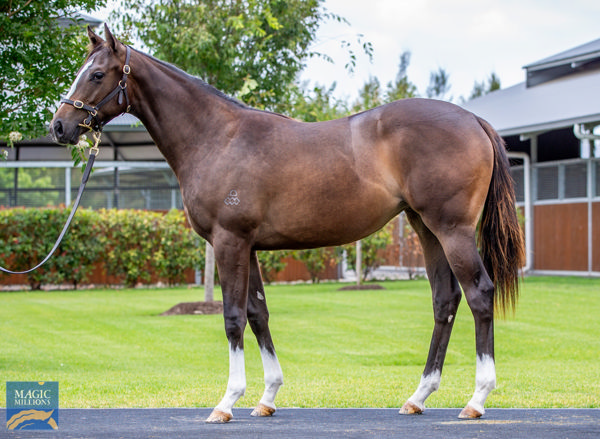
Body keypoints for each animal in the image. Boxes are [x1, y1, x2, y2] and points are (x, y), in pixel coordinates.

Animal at [49, 25, 524, 424]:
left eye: (96, 74)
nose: (59, 126)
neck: (216, 137)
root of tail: (472, 120)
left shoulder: (230, 242)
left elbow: (233, 317)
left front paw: (226, 402)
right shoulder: (248, 247)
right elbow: (258, 313)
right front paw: (267, 397)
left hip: (452, 229)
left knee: (479, 294)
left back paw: (477, 399)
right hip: (426, 228)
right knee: (445, 300)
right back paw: (418, 396)